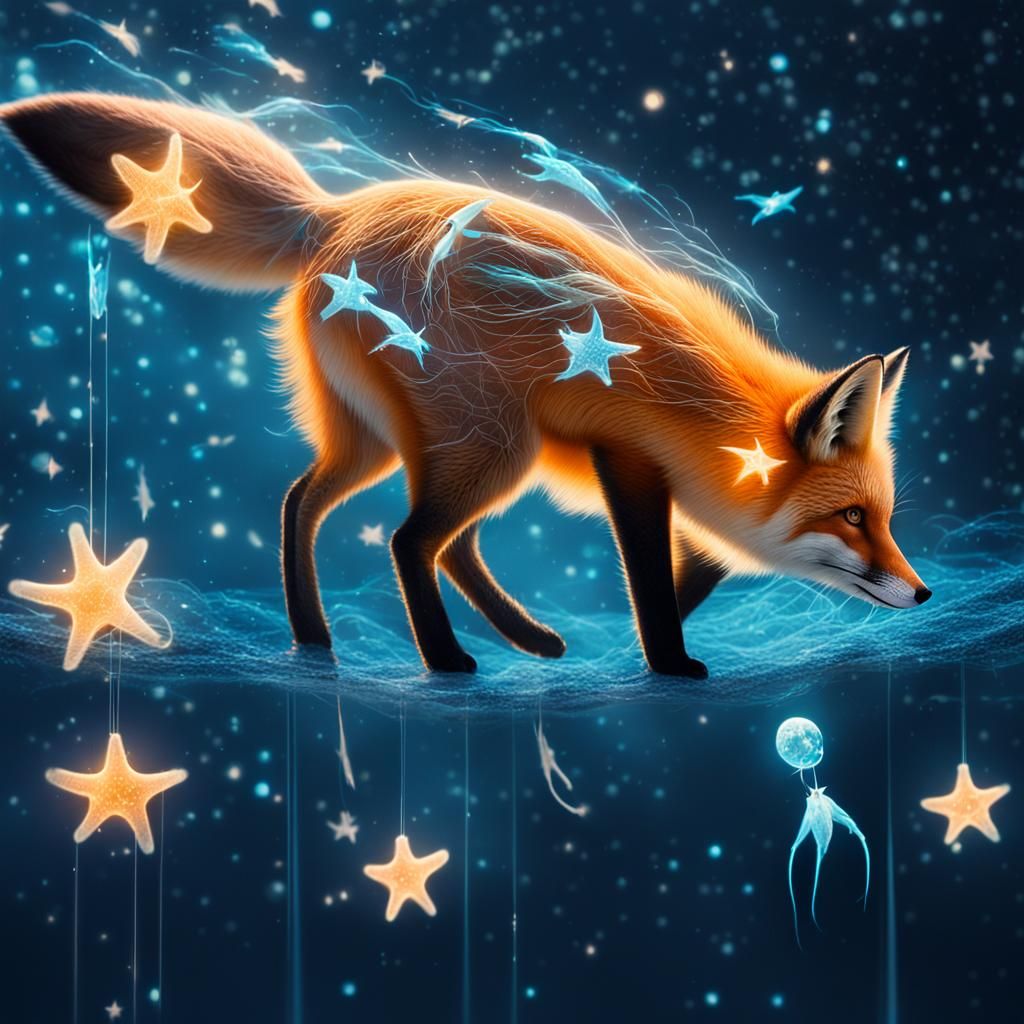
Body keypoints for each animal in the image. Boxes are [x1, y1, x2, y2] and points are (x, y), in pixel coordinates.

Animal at [0, 92, 931, 679]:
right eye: (853, 518)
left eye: (885, 517)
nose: (922, 592)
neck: (718, 419)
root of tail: (336, 213)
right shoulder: (629, 460)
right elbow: (653, 586)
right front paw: (668, 664)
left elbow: (683, 579)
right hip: (492, 446)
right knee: (410, 541)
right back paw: (443, 660)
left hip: (407, 444)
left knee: (323, 507)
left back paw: (336, 635)